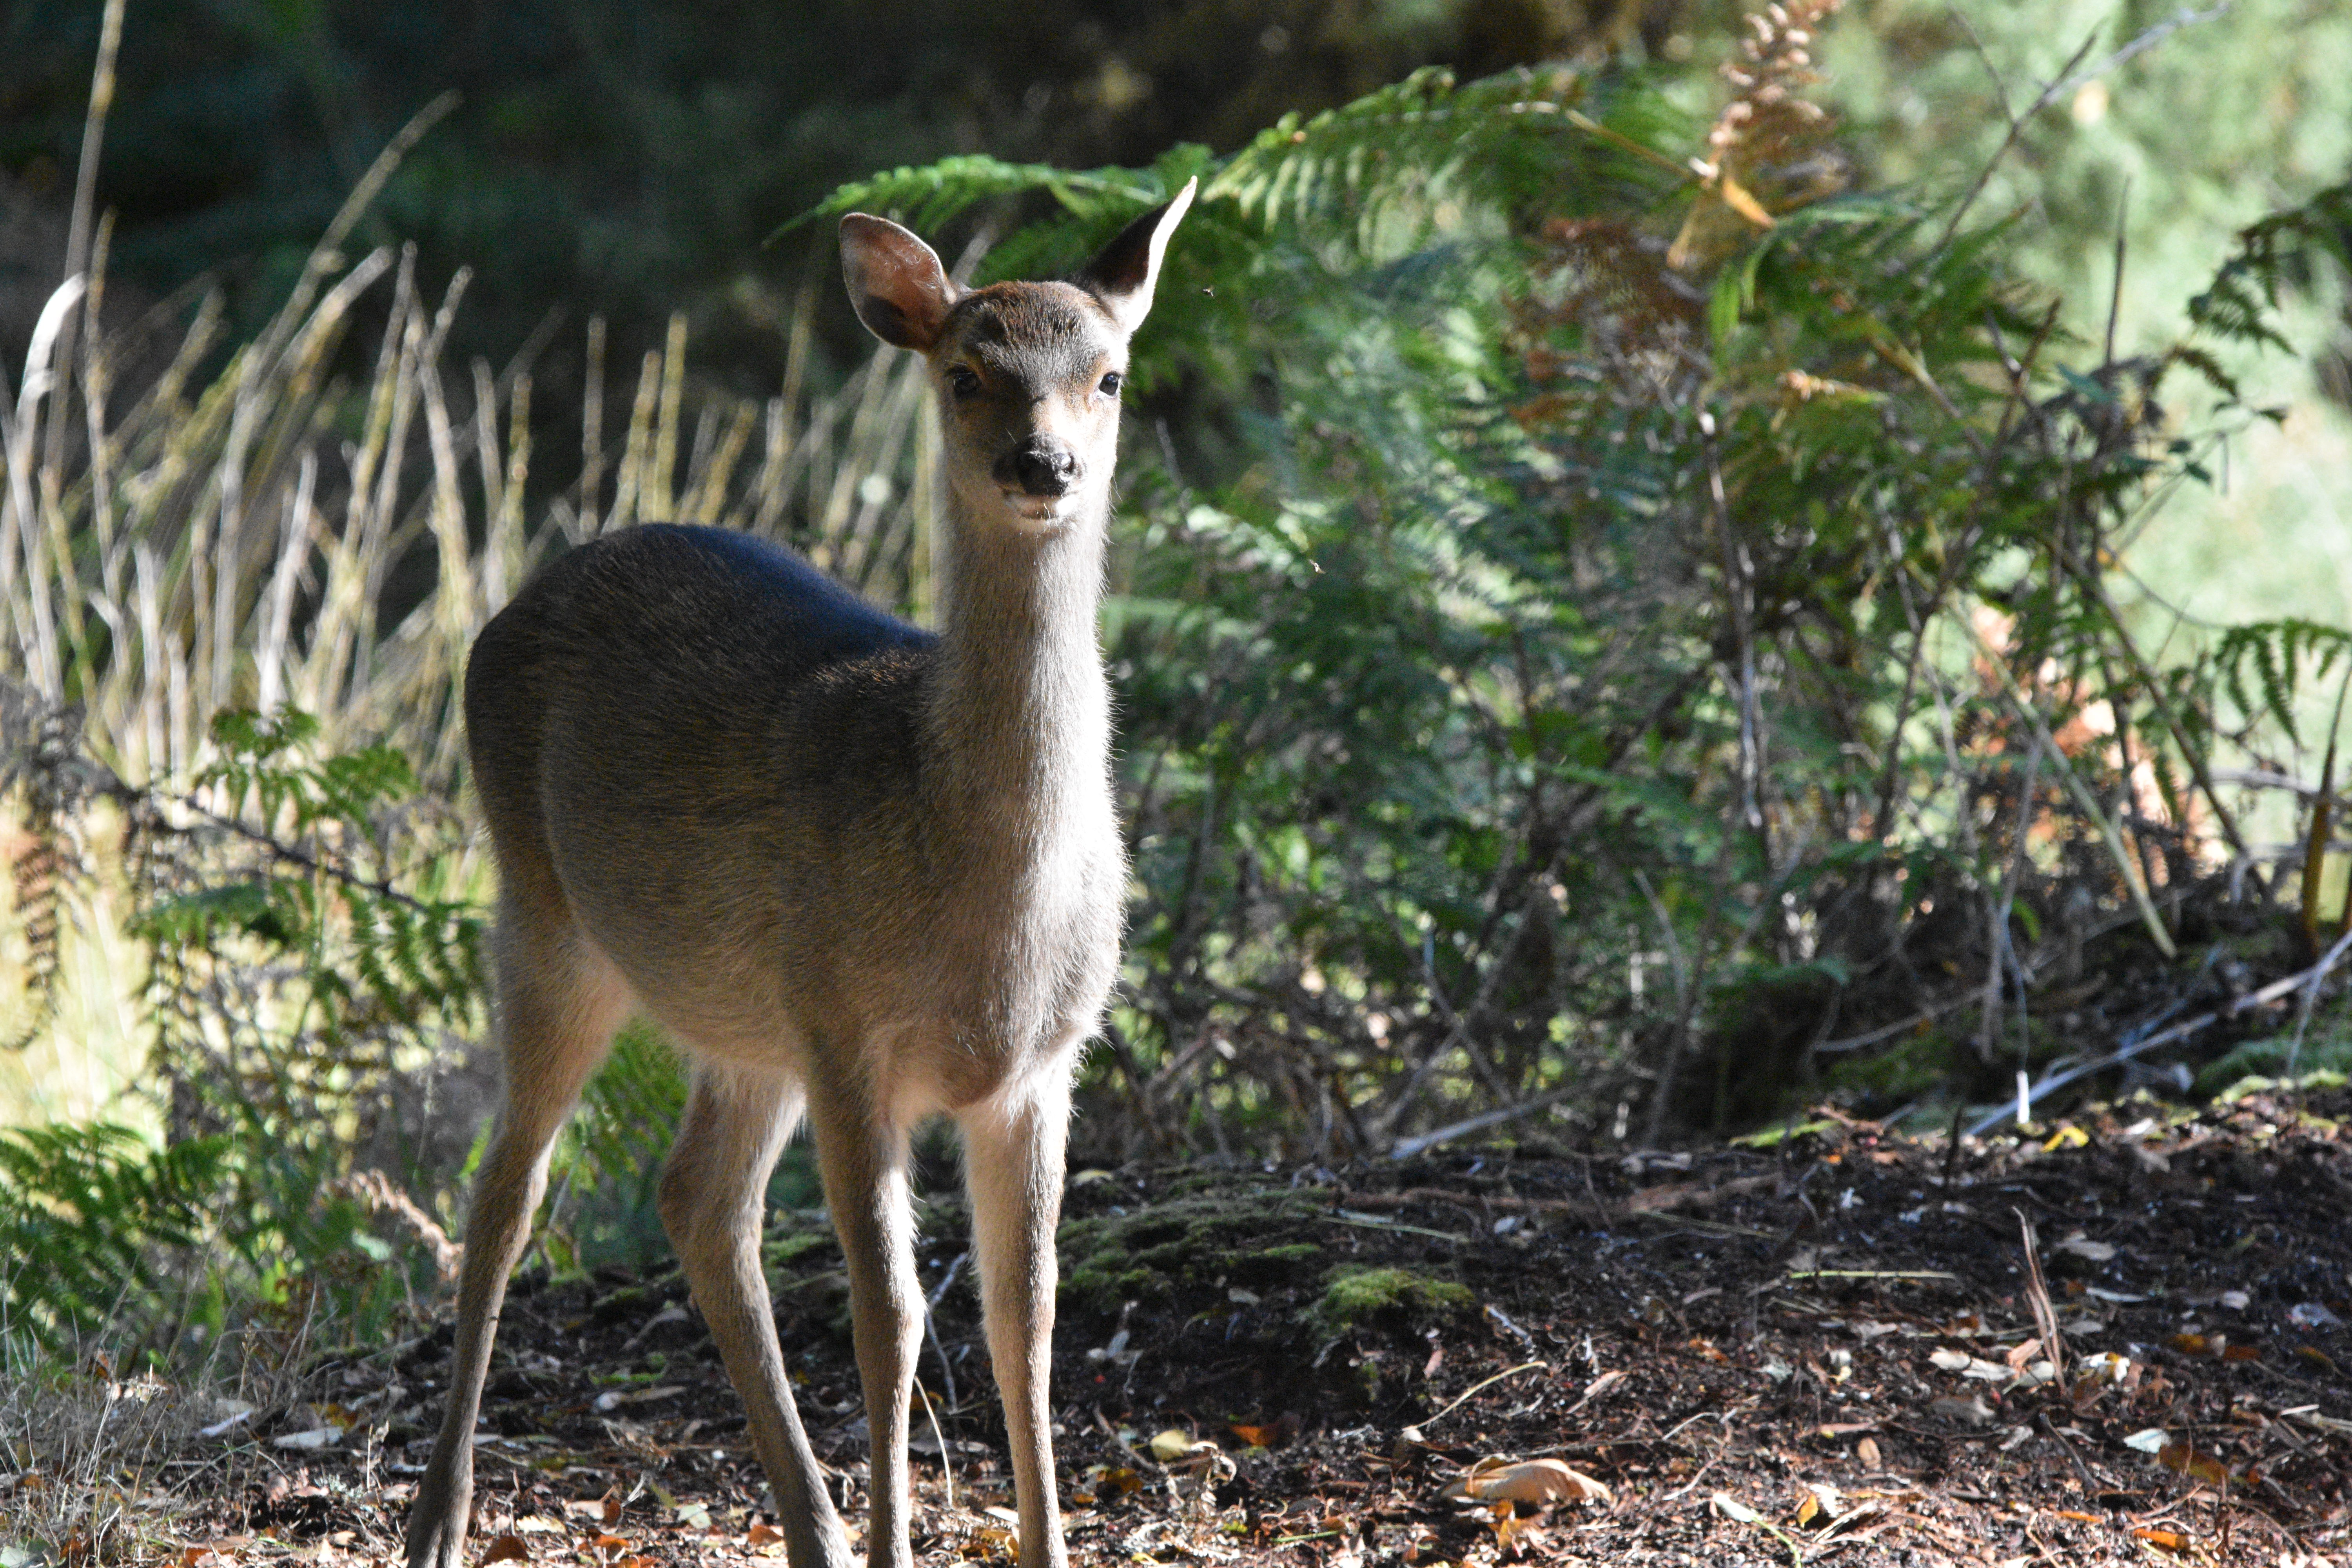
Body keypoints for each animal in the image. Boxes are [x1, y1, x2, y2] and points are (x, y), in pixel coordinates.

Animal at [402, 175, 1195, 1568]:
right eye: (966, 372)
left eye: (1107, 374)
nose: (1041, 465)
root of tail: (512, 605)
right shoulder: (849, 1035)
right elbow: (892, 1321)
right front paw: (894, 1545)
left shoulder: (1041, 1066)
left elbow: (1028, 1319)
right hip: (545, 912)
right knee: (506, 1191)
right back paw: (439, 1517)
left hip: (746, 1018)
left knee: (695, 1199)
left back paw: (809, 1522)